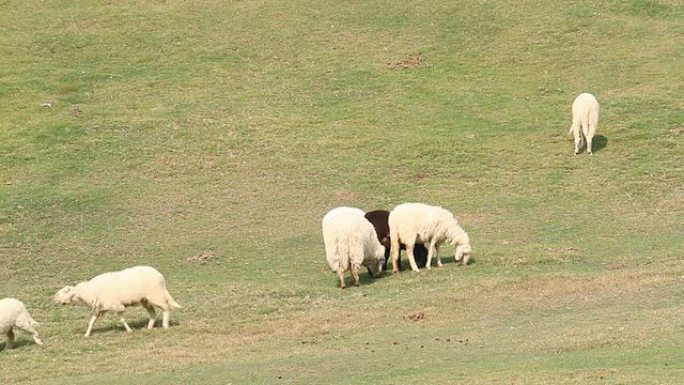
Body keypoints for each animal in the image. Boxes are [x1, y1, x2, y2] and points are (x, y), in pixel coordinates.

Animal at [54, 264, 182, 336]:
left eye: (63, 291)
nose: (54, 299)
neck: (88, 291)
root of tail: (160, 276)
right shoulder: (99, 308)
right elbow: (91, 322)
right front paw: (86, 334)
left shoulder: (115, 305)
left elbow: (122, 320)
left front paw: (129, 331)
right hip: (145, 299)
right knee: (153, 313)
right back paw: (149, 328)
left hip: (155, 294)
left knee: (166, 308)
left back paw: (165, 326)